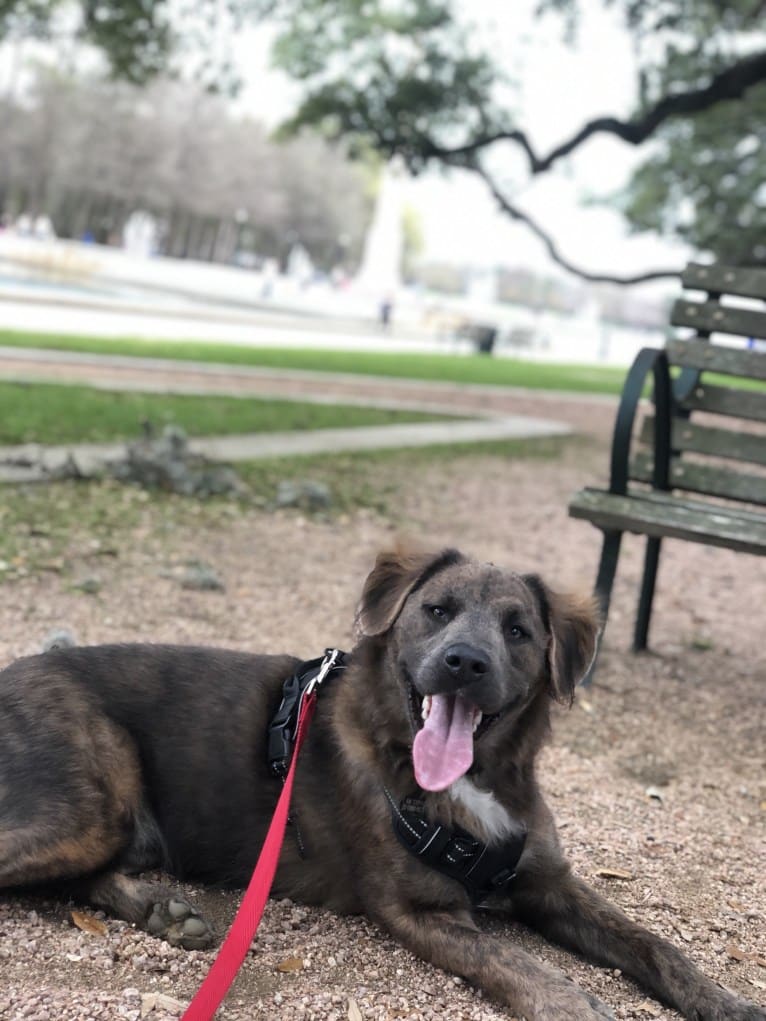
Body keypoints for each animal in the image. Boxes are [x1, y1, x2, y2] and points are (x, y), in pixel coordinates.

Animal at [0, 551, 763, 1021]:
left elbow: (653, 943)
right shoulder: (419, 911)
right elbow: (516, 961)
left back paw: (157, 907)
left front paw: (724, 1000)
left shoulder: (552, 885)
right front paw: (574, 1004)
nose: (465, 662)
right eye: (437, 610)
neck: (469, 780)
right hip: (90, 808)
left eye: (518, 629)